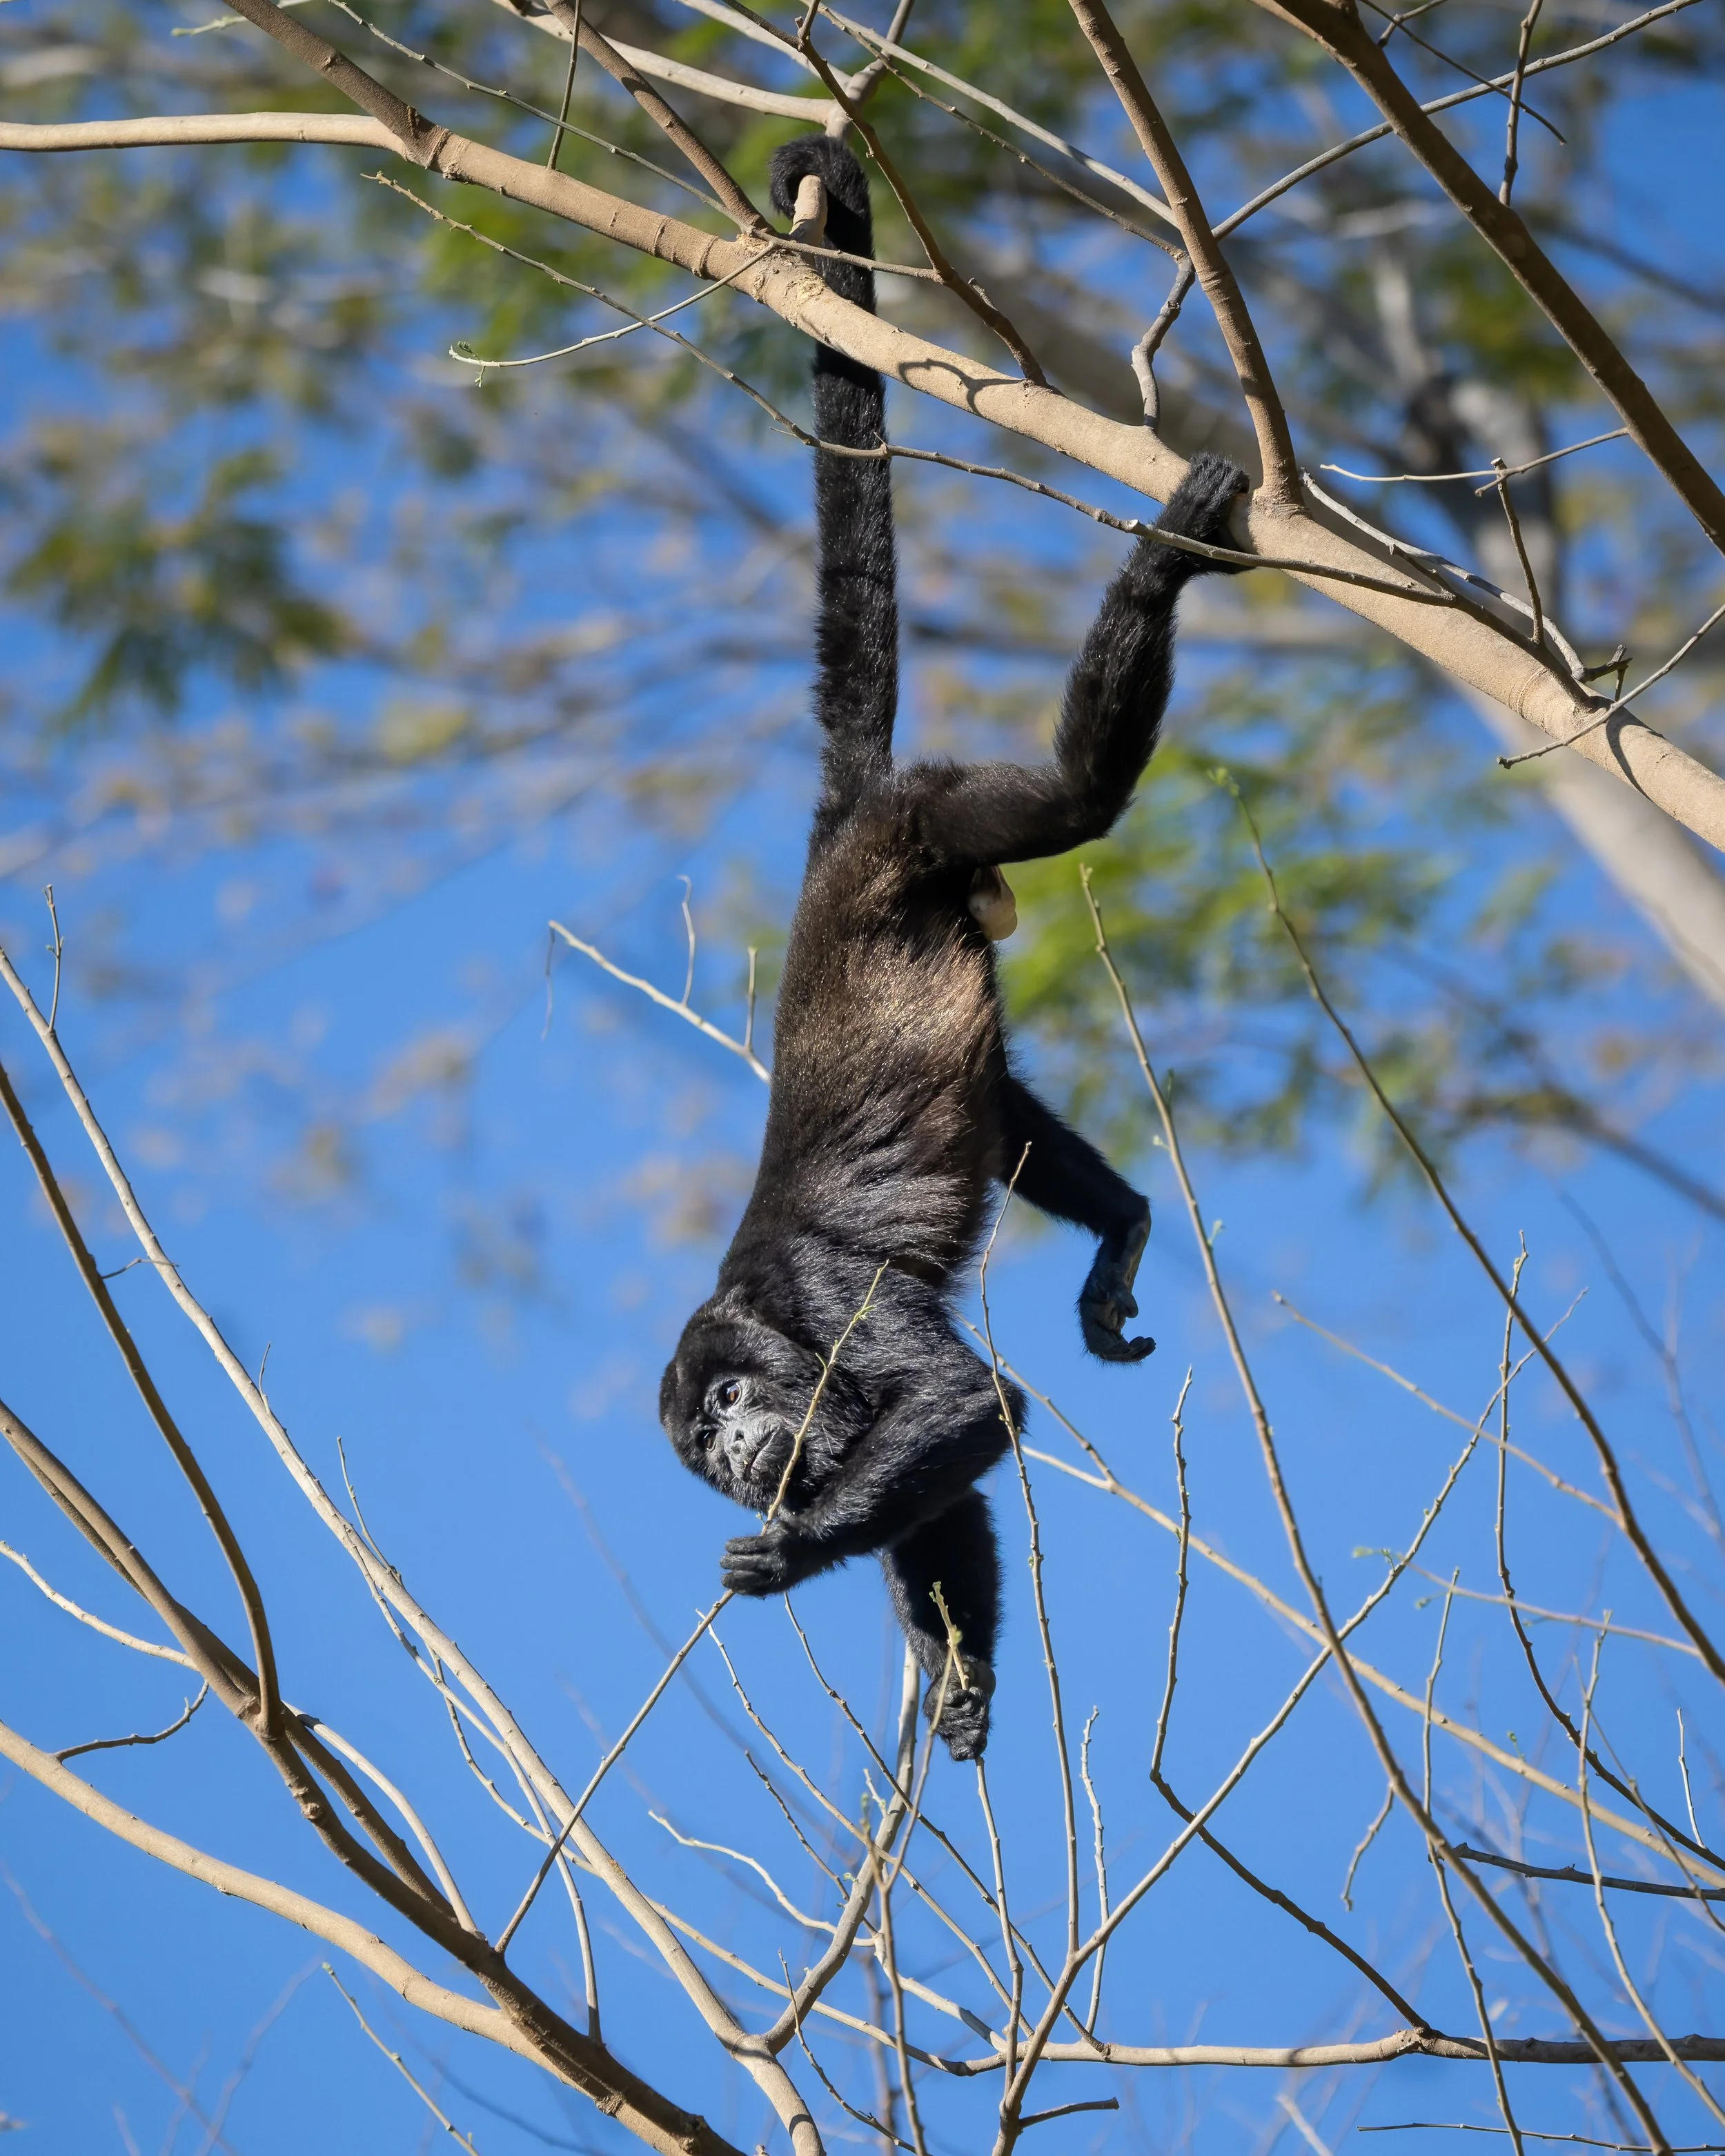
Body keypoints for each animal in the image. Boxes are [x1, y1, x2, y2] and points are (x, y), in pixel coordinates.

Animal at [658, 133, 1249, 1761]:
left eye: (721, 1414)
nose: (740, 1459)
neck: (750, 1325)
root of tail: (837, 832)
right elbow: (944, 1488)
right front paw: (955, 1663)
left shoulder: (813, 1311)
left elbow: (969, 1408)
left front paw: (788, 1555)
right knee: (1007, 1116)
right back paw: (1119, 1227)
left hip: (924, 820)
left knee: (1073, 800)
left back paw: (1164, 563)